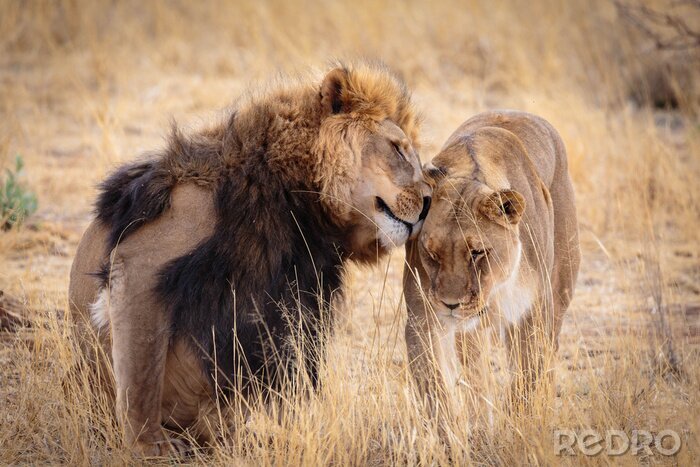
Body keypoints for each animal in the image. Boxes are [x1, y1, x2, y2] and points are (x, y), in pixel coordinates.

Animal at [69, 62, 431, 456]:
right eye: (397, 149)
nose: (430, 201)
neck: (298, 202)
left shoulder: (303, 293)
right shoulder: (143, 257)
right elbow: (141, 378)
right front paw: (147, 446)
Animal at [403, 110, 580, 424]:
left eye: (477, 253)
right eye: (432, 253)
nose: (451, 304)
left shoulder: (534, 312)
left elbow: (527, 379)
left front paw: (520, 425)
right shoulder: (422, 318)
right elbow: (436, 388)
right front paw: (454, 433)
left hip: (561, 291)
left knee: (549, 353)